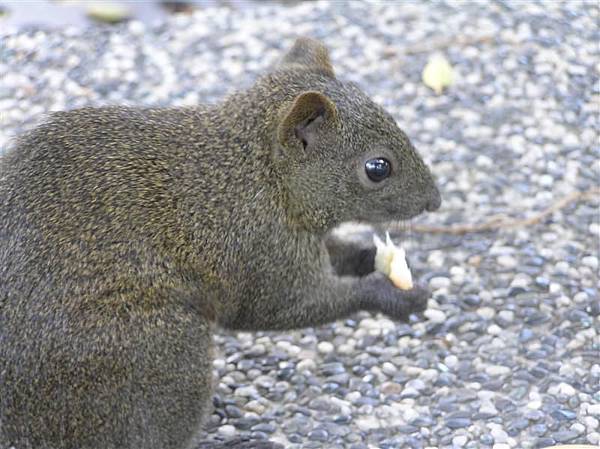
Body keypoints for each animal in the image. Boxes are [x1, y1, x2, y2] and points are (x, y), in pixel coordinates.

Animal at [0, 36, 440, 448]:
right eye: (377, 168)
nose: (435, 201)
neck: (258, 171)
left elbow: (338, 256)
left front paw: (372, 258)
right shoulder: (261, 248)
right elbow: (286, 306)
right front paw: (390, 295)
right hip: (159, 353)